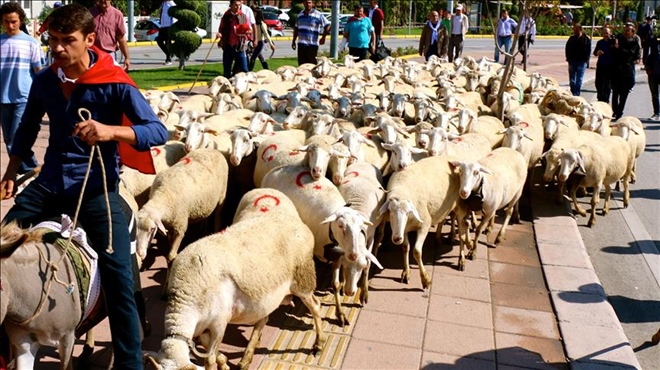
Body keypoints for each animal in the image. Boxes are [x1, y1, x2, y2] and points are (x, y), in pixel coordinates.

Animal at [152, 188, 322, 370]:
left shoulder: (219, 322)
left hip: (303, 279)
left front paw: (219, 364)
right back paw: (247, 356)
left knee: (315, 306)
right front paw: (224, 362)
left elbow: (209, 358)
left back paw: (319, 345)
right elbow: (209, 349)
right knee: (264, 318)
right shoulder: (203, 327)